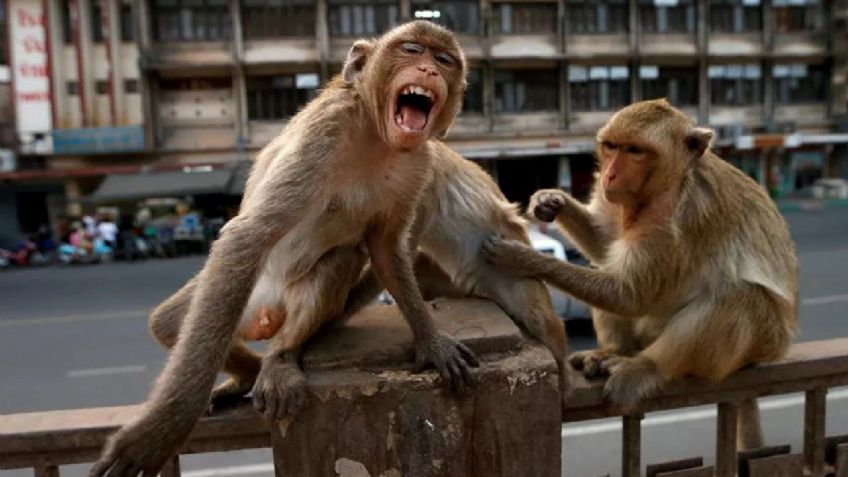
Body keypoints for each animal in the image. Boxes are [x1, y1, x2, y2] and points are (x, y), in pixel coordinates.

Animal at [91, 20, 568, 474]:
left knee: (341, 260)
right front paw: (162, 429)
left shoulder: (419, 164)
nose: (430, 71)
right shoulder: (327, 131)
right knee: (174, 322)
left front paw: (431, 342)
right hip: (241, 295)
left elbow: (386, 248)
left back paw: (278, 356)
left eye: (444, 60)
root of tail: (267, 313)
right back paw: (252, 370)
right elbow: (249, 234)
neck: (376, 137)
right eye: (412, 50)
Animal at [484, 96, 796, 446]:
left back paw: (647, 367)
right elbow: (607, 246)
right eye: (611, 147)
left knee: (740, 297)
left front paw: (520, 257)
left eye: (635, 151)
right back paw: (613, 351)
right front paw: (551, 200)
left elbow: (630, 295)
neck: (668, 184)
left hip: (759, 345)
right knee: (606, 265)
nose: (609, 175)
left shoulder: (672, 220)